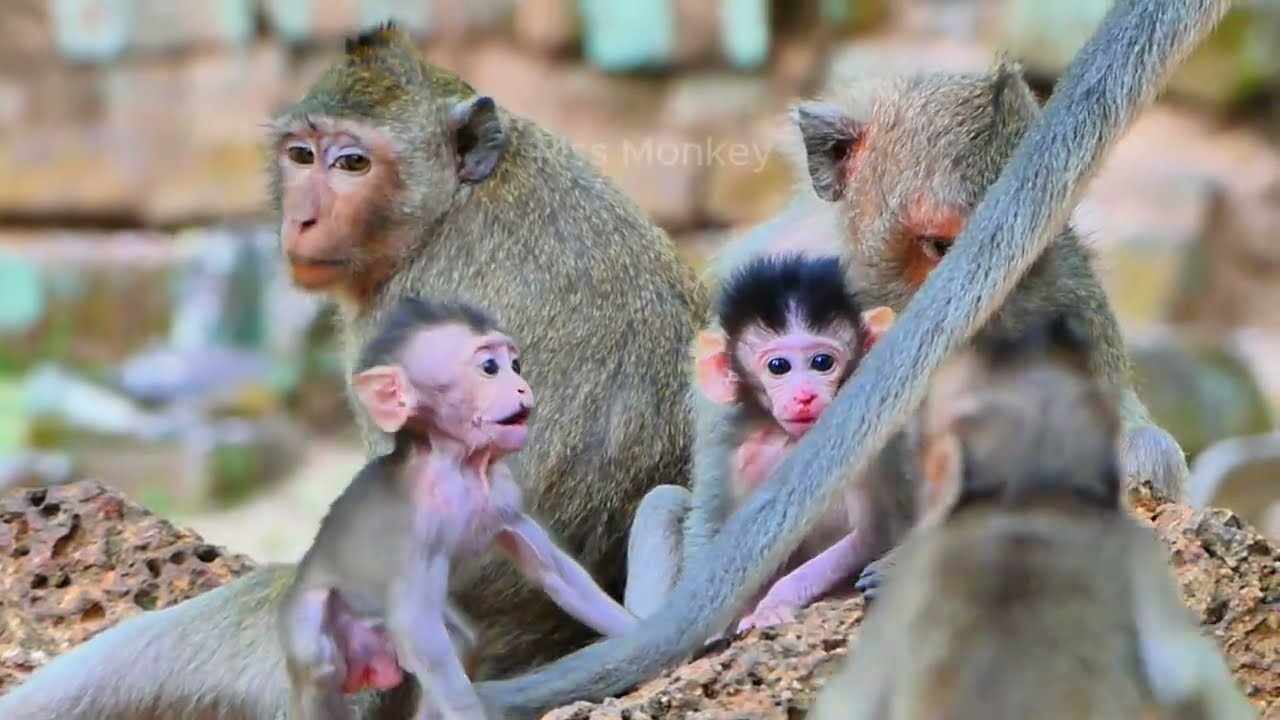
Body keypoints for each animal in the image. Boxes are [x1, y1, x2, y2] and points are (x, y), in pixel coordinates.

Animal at [280, 298, 636, 720]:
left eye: (516, 365)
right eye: (490, 368)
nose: (522, 386)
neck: (460, 468)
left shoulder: (503, 497)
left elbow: (555, 572)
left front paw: (644, 633)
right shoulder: (418, 524)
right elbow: (418, 628)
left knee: (461, 641)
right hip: (311, 608)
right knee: (321, 664)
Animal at [623, 253, 911, 633]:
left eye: (822, 362)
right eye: (778, 366)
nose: (804, 396)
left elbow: (870, 533)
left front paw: (773, 604)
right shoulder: (728, 444)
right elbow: (712, 531)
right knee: (664, 499)